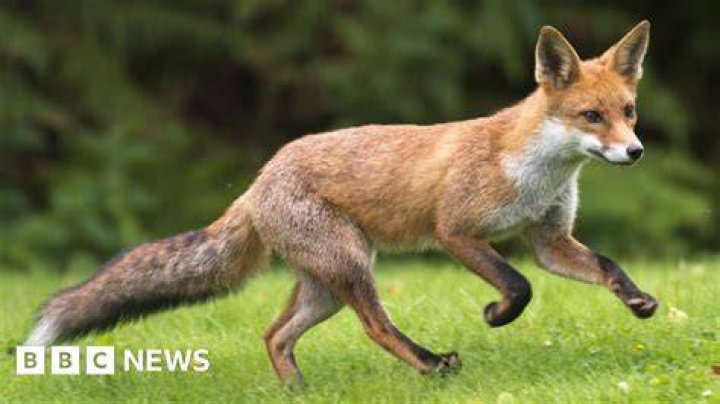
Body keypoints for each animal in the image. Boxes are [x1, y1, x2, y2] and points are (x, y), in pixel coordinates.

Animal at [26, 21, 658, 383]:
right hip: (352, 268)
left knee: (274, 335)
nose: (634, 152)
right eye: (590, 116)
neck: (535, 170)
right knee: (375, 327)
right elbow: (519, 285)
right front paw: (496, 315)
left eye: (628, 112)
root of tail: (259, 180)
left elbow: (604, 266)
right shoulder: (456, 231)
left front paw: (638, 300)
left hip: (325, 286)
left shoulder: (549, 239)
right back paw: (430, 365)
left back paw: (298, 393)